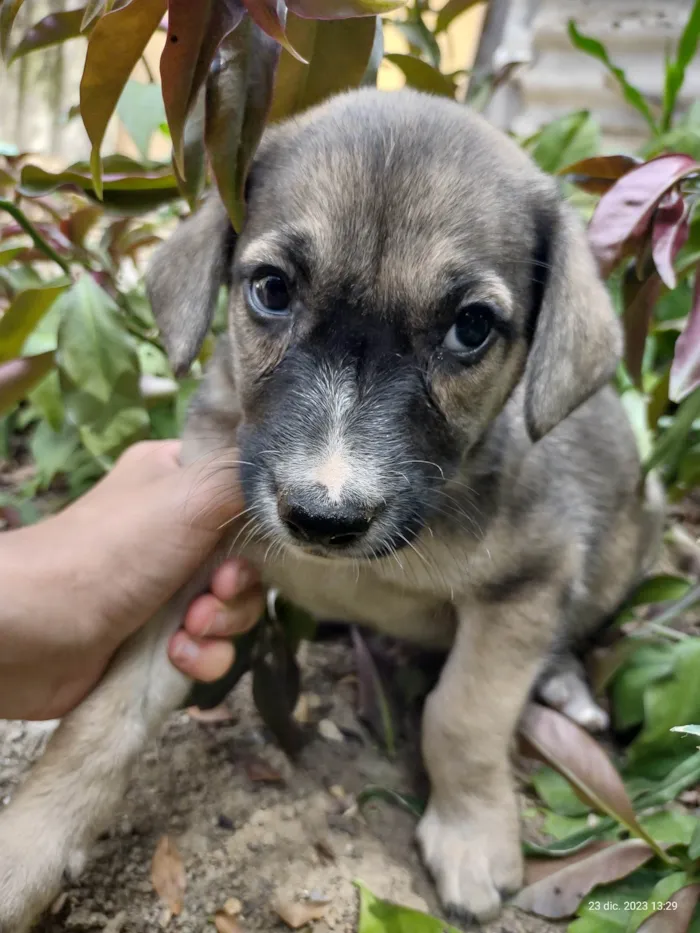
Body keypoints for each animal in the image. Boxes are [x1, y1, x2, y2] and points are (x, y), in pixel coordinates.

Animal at [0, 89, 660, 932]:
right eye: (272, 289)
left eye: (471, 327)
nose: (321, 517)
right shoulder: (191, 558)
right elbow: (103, 714)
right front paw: (27, 846)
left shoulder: (529, 580)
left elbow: (464, 715)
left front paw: (473, 834)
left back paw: (567, 685)